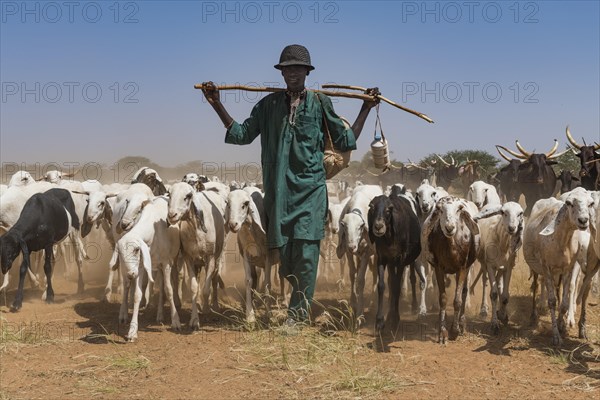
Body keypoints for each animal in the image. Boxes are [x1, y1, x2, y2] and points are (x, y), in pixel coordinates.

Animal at [368, 195, 420, 332]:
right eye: (372, 207)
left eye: (388, 210)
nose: (378, 226)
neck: (389, 238)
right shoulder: (382, 258)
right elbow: (382, 285)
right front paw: (380, 321)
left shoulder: (400, 259)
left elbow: (397, 287)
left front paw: (395, 319)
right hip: (391, 263)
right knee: (391, 282)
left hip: (410, 259)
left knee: (411, 278)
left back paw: (414, 305)